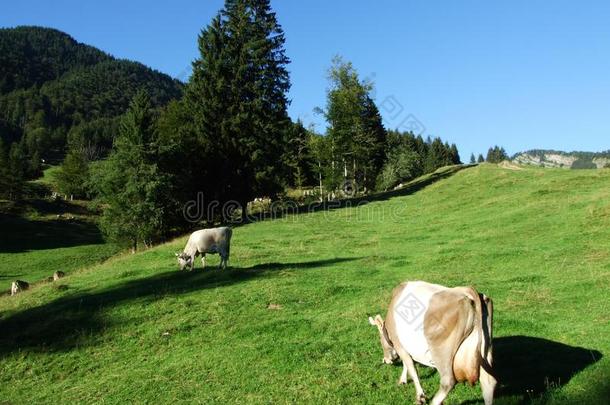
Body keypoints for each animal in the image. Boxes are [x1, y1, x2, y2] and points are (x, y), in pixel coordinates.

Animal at [366, 280, 494, 404]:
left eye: (380, 339)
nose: (385, 360)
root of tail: (466, 290)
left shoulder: (399, 345)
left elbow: (411, 368)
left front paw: (420, 396)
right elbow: (406, 365)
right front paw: (403, 380)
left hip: (442, 353)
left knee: (448, 382)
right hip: (485, 350)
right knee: (489, 383)